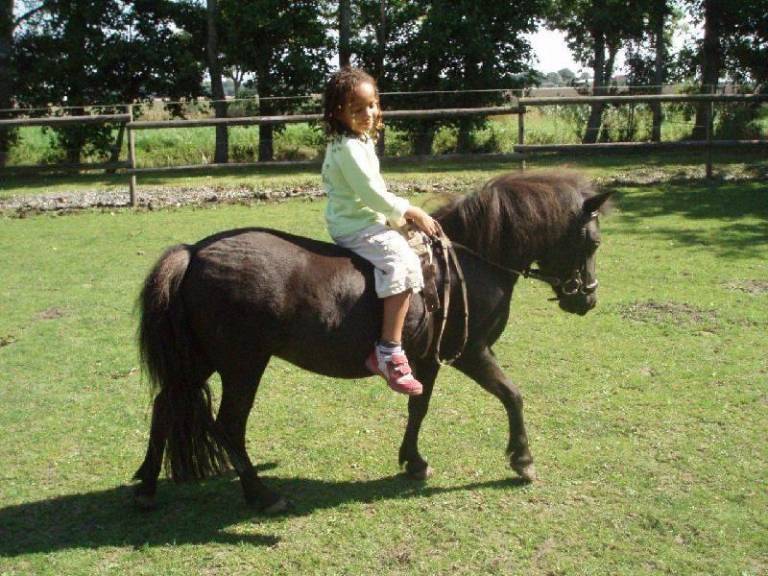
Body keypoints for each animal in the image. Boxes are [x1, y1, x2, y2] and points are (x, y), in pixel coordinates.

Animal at [134, 170, 612, 512]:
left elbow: (418, 407)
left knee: (165, 405)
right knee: (230, 425)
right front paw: (522, 459)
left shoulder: (427, 360)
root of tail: (194, 251)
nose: (588, 298)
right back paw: (261, 495)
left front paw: (414, 461)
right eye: (593, 241)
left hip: (200, 360)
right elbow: (513, 395)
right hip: (242, 365)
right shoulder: (472, 353)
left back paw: (147, 486)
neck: (472, 261)